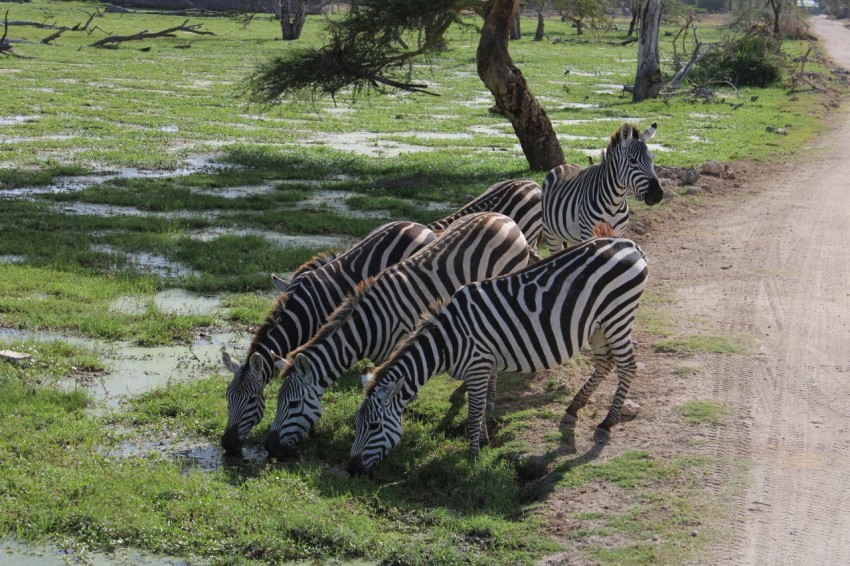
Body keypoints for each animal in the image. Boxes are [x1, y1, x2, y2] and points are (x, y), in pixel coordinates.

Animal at [263, 212, 534, 458]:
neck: (368, 326)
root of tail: (503, 217)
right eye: (277, 401)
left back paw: (488, 399)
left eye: (293, 403)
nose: (270, 447)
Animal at [348, 236, 648, 477]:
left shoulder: (479, 364)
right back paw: (575, 406)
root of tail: (628, 244)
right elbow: (479, 408)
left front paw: (472, 457)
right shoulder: (482, 368)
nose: (352, 469)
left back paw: (607, 423)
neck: (447, 342)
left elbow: (473, 413)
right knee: (605, 363)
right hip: (598, 325)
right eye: (357, 424)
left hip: (618, 316)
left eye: (373, 426)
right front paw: (483, 442)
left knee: (627, 367)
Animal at [542, 122, 664, 252]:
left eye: (652, 159)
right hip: (551, 234)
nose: (657, 194)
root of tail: (561, 165)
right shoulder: (589, 233)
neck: (615, 203)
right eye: (632, 160)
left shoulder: (619, 233)